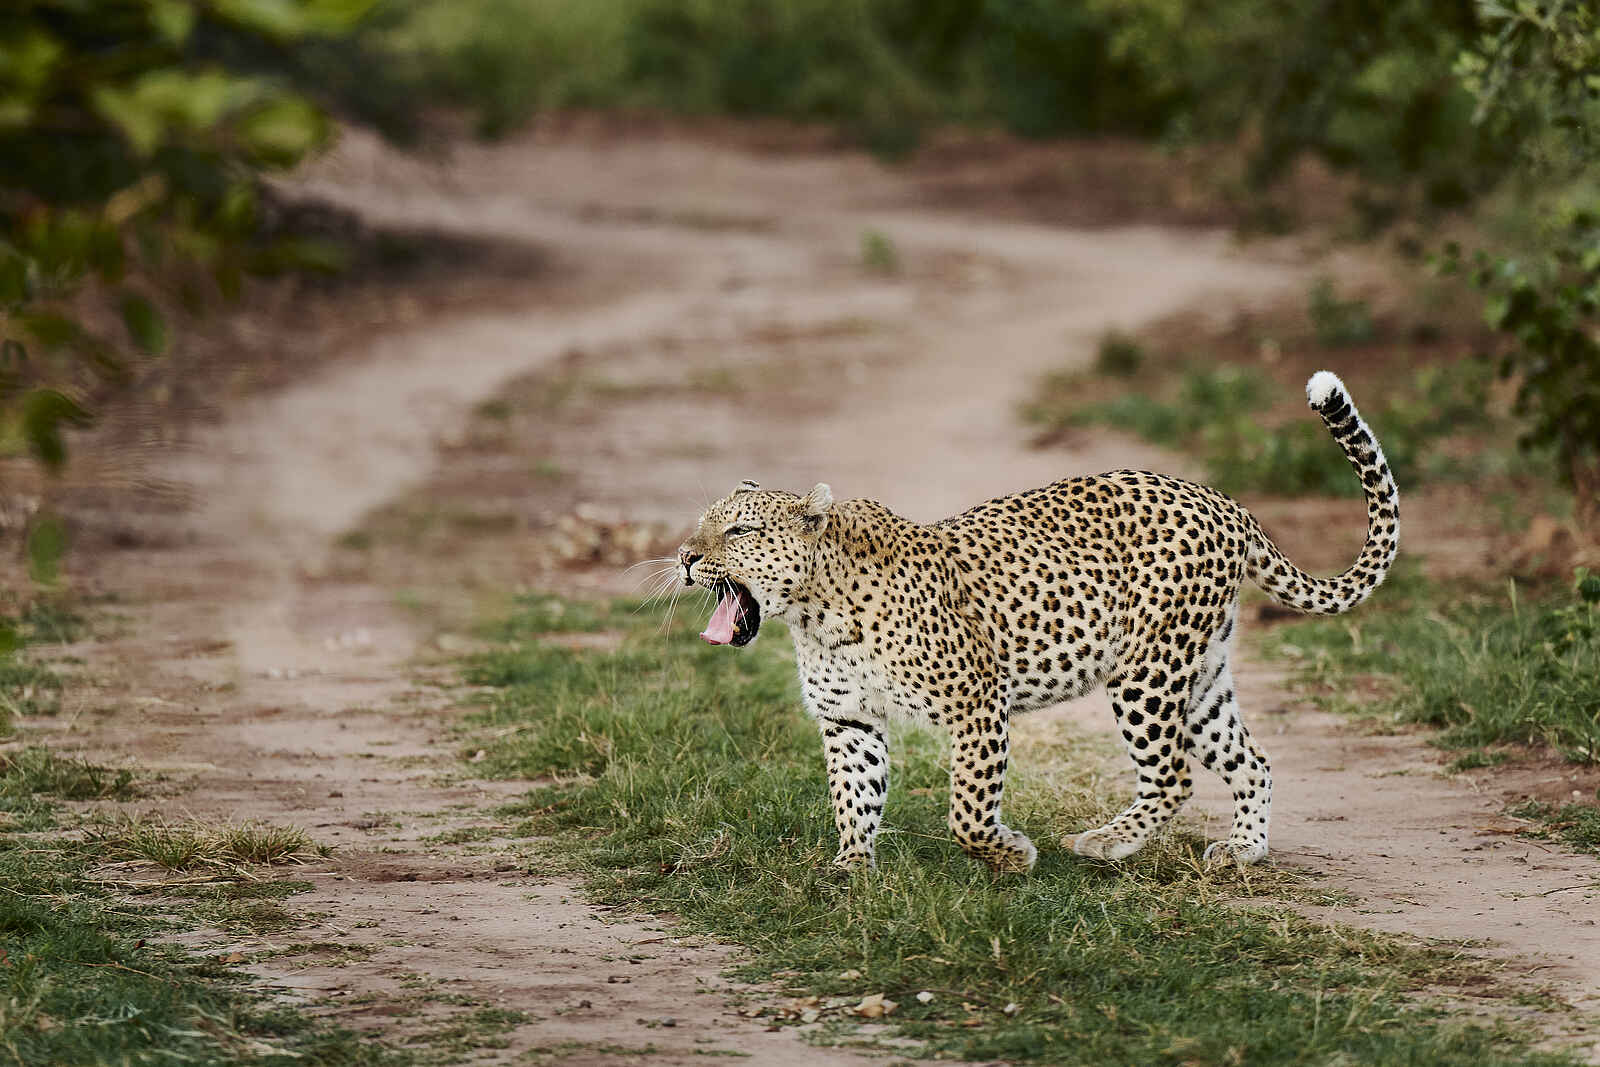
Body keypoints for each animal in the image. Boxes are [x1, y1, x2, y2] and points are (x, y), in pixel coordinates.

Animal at [676, 371, 1398, 872]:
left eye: (739, 531)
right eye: (703, 523)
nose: (684, 556)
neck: (815, 611)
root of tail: (1225, 502)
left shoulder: (976, 701)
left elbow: (967, 810)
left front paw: (1010, 854)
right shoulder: (848, 718)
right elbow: (855, 796)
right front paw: (851, 867)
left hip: (1148, 672)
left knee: (1174, 774)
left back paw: (1107, 842)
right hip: (1202, 677)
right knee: (1251, 761)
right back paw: (1243, 849)